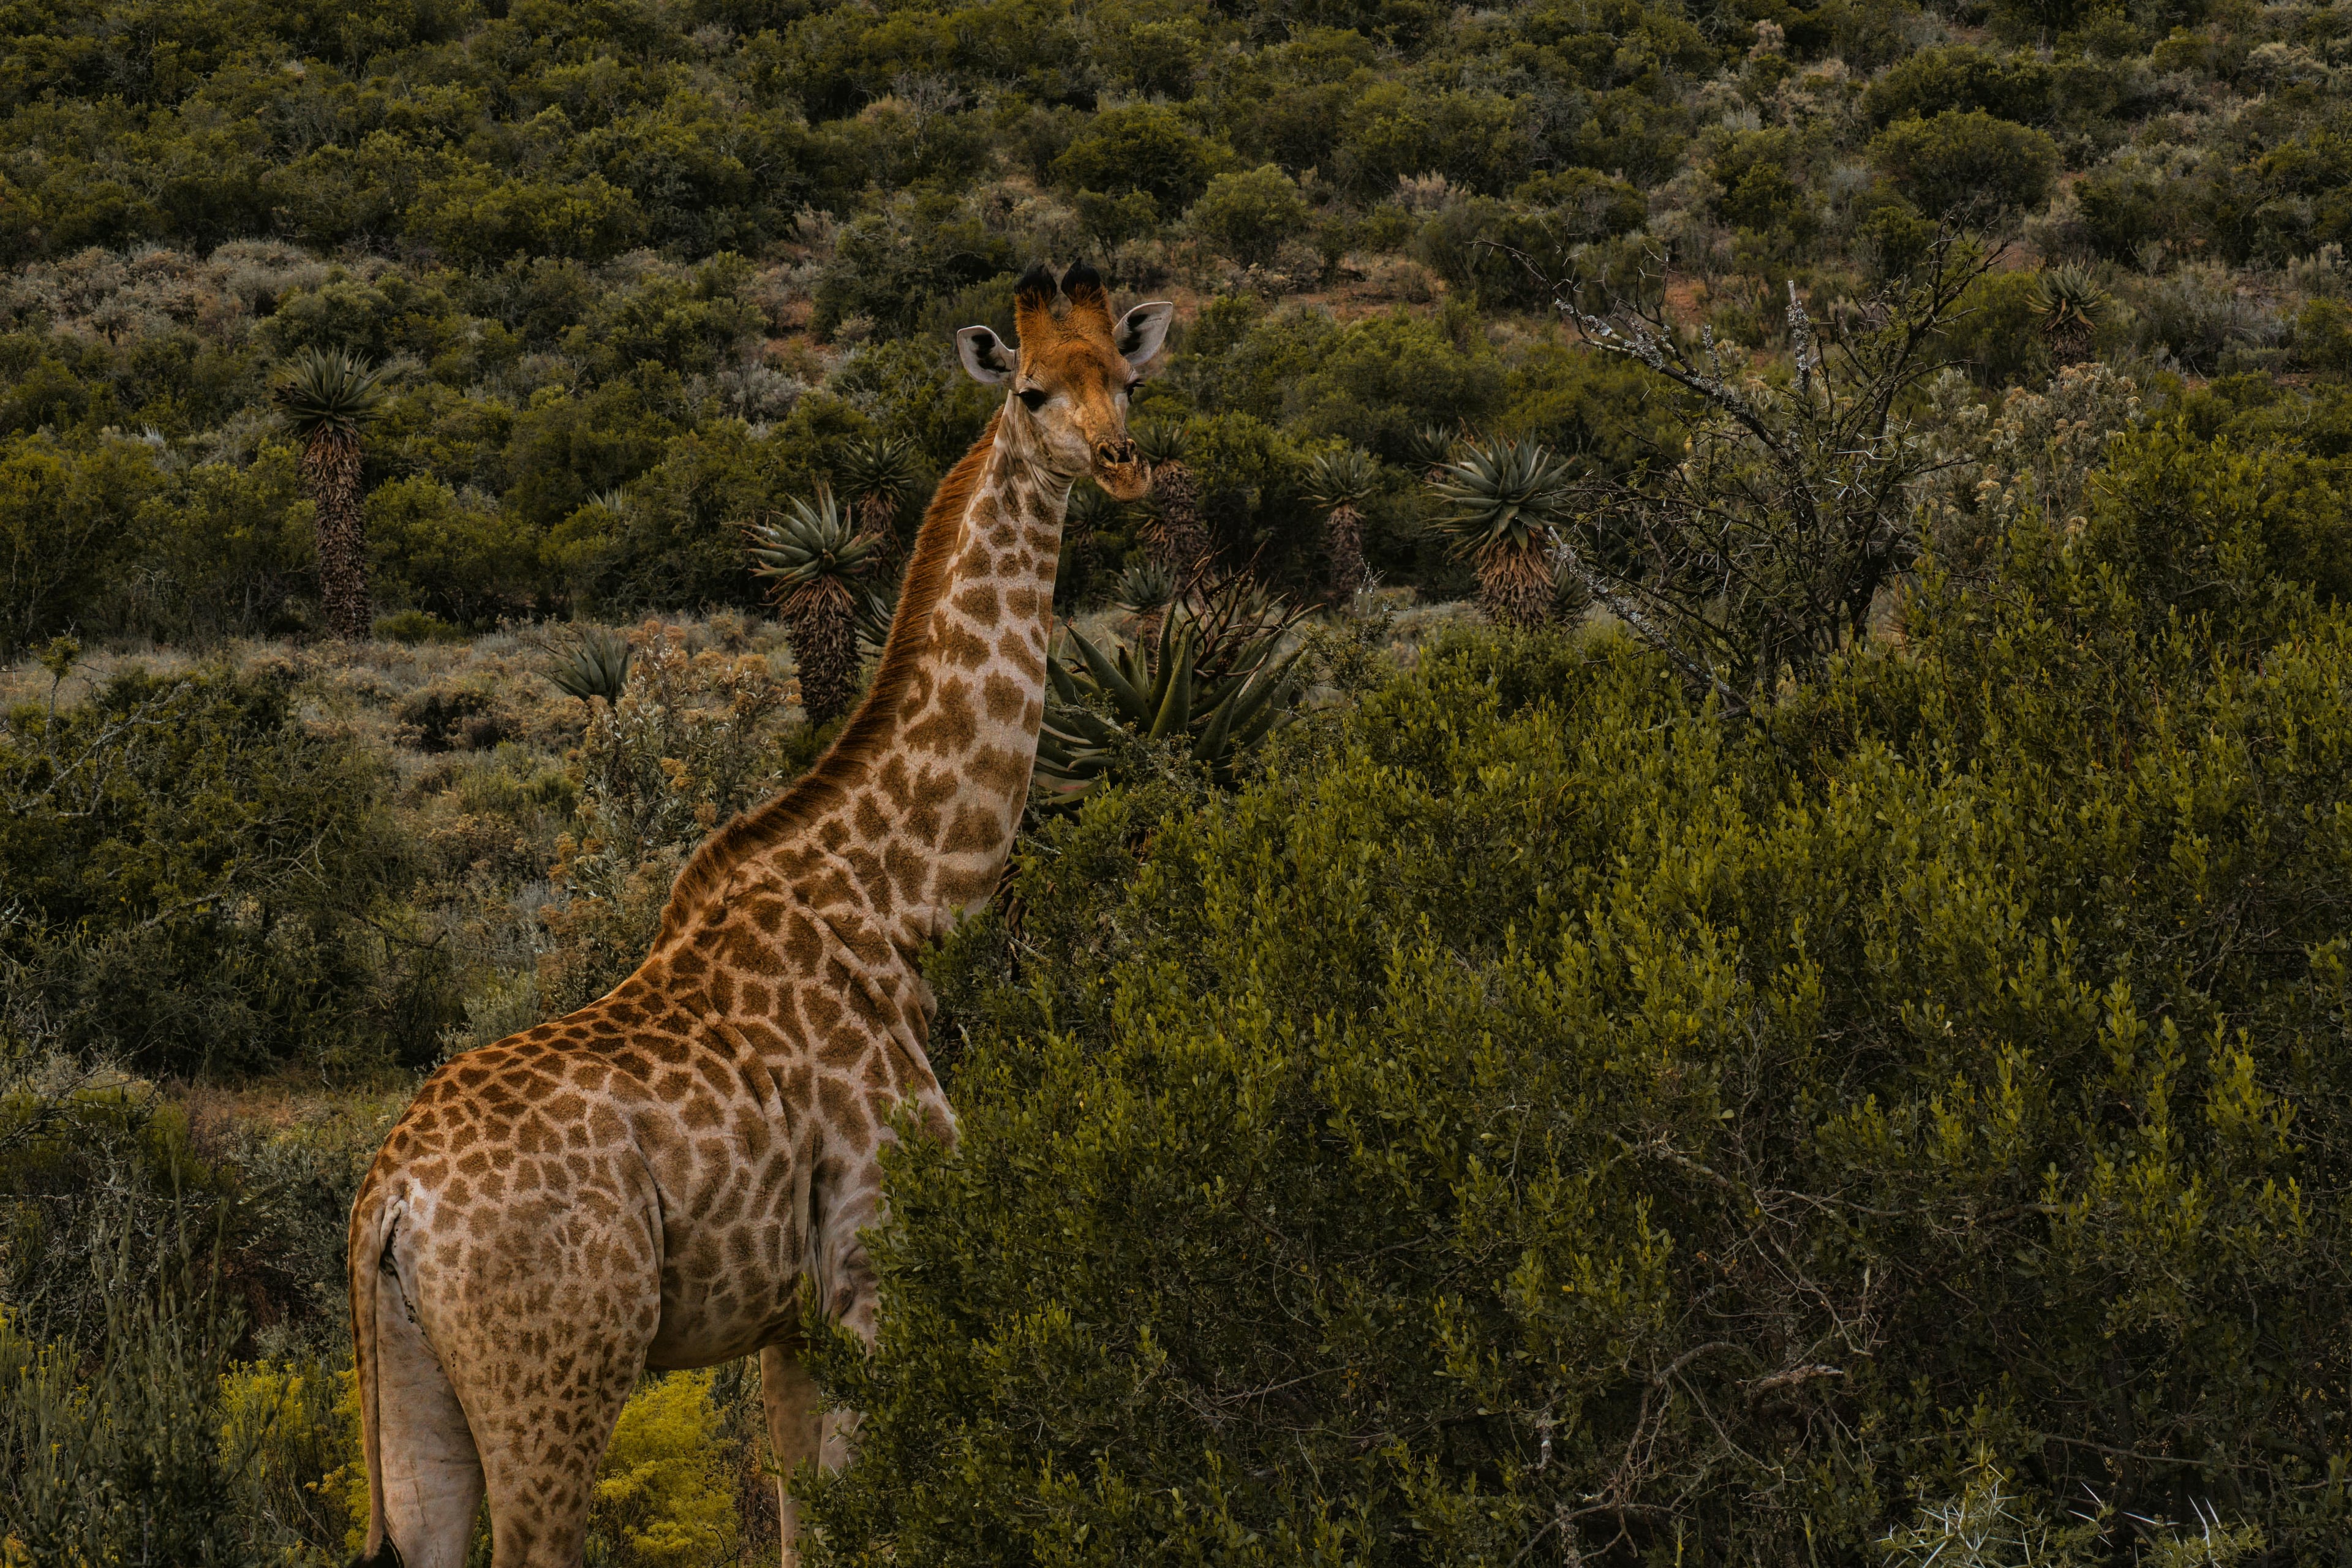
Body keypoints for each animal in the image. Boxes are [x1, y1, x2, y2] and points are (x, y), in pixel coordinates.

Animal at [346, 261, 1174, 1568]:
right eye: (1032, 391)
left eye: (1128, 381)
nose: (1122, 463)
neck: (898, 909)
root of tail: (393, 1204)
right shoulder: (874, 1275)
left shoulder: (787, 1321)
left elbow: (798, 1529)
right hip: (557, 1373)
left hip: (414, 1394)